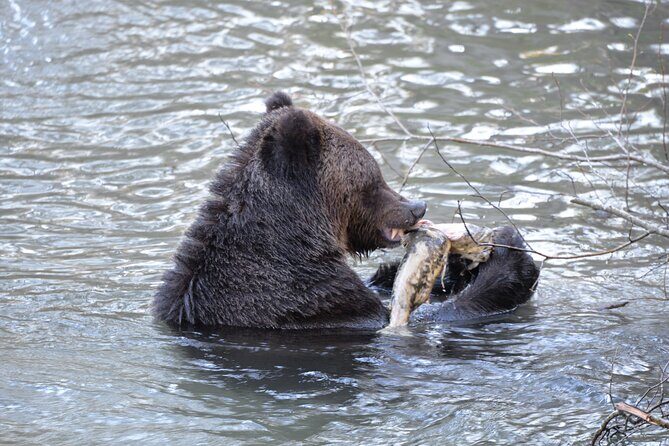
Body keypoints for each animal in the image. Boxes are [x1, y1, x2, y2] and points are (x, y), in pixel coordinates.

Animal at [153, 92, 539, 329]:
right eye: (374, 177)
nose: (416, 207)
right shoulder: (311, 301)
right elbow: (417, 317)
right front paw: (512, 257)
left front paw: (459, 266)